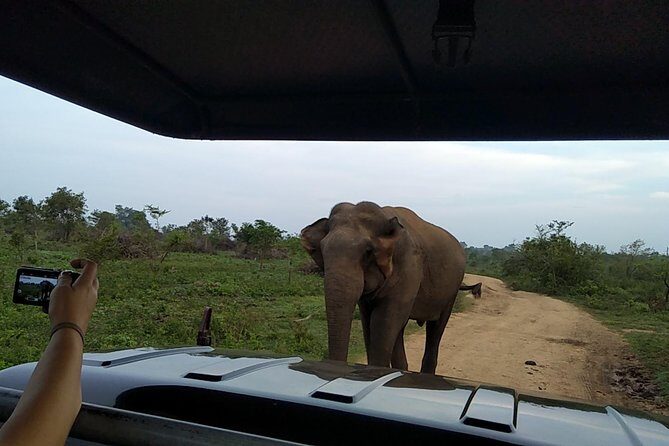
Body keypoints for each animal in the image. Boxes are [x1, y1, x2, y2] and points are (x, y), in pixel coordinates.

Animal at [300, 201, 465, 374]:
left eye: (368, 252)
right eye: (323, 250)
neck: (383, 216)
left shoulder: (409, 266)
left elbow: (383, 321)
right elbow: (369, 322)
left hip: (452, 290)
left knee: (436, 328)